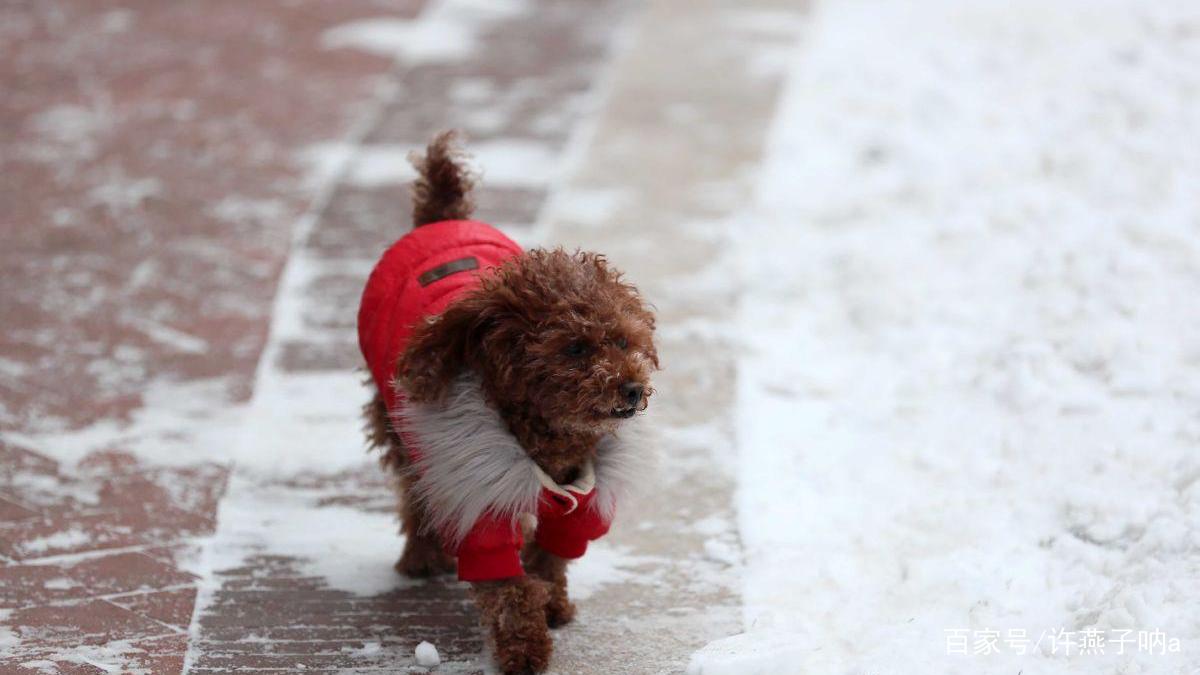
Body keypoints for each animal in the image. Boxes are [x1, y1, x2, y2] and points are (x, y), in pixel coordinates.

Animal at [357, 132, 657, 672]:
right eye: (574, 348)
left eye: (623, 341)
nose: (632, 389)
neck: (548, 441)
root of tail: (442, 218)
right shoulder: (481, 497)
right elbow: (508, 590)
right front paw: (524, 650)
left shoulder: (578, 501)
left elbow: (551, 558)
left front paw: (553, 606)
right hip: (400, 424)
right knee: (414, 490)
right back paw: (420, 556)